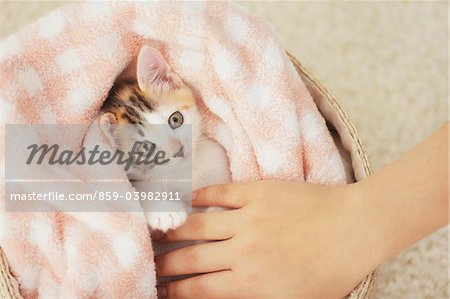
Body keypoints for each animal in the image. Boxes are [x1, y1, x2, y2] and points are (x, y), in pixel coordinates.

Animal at [100, 46, 230, 232]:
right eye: (146, 148)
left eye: (175, 119)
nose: (179, 150)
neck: (186, 172)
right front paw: (163, 212)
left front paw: (217, 210)